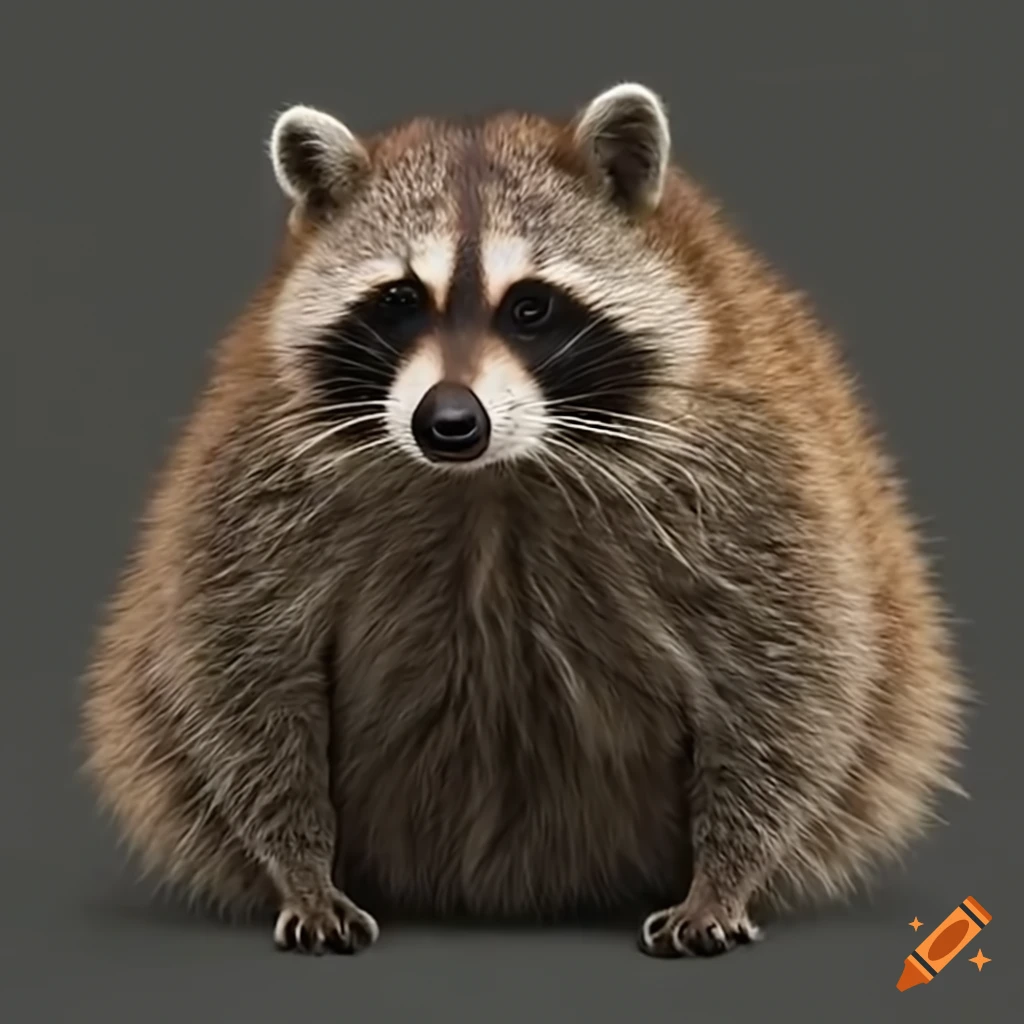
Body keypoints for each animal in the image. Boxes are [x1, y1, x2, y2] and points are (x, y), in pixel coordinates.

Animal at [81, 83, 967, 958]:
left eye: (531, 308)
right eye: (401, 301)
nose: (449, 423)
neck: (488, 481)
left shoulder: (749, 465)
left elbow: (787, 671)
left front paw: (726, 876)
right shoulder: (257, 470)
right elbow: (241, 671)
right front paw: (302, 869)